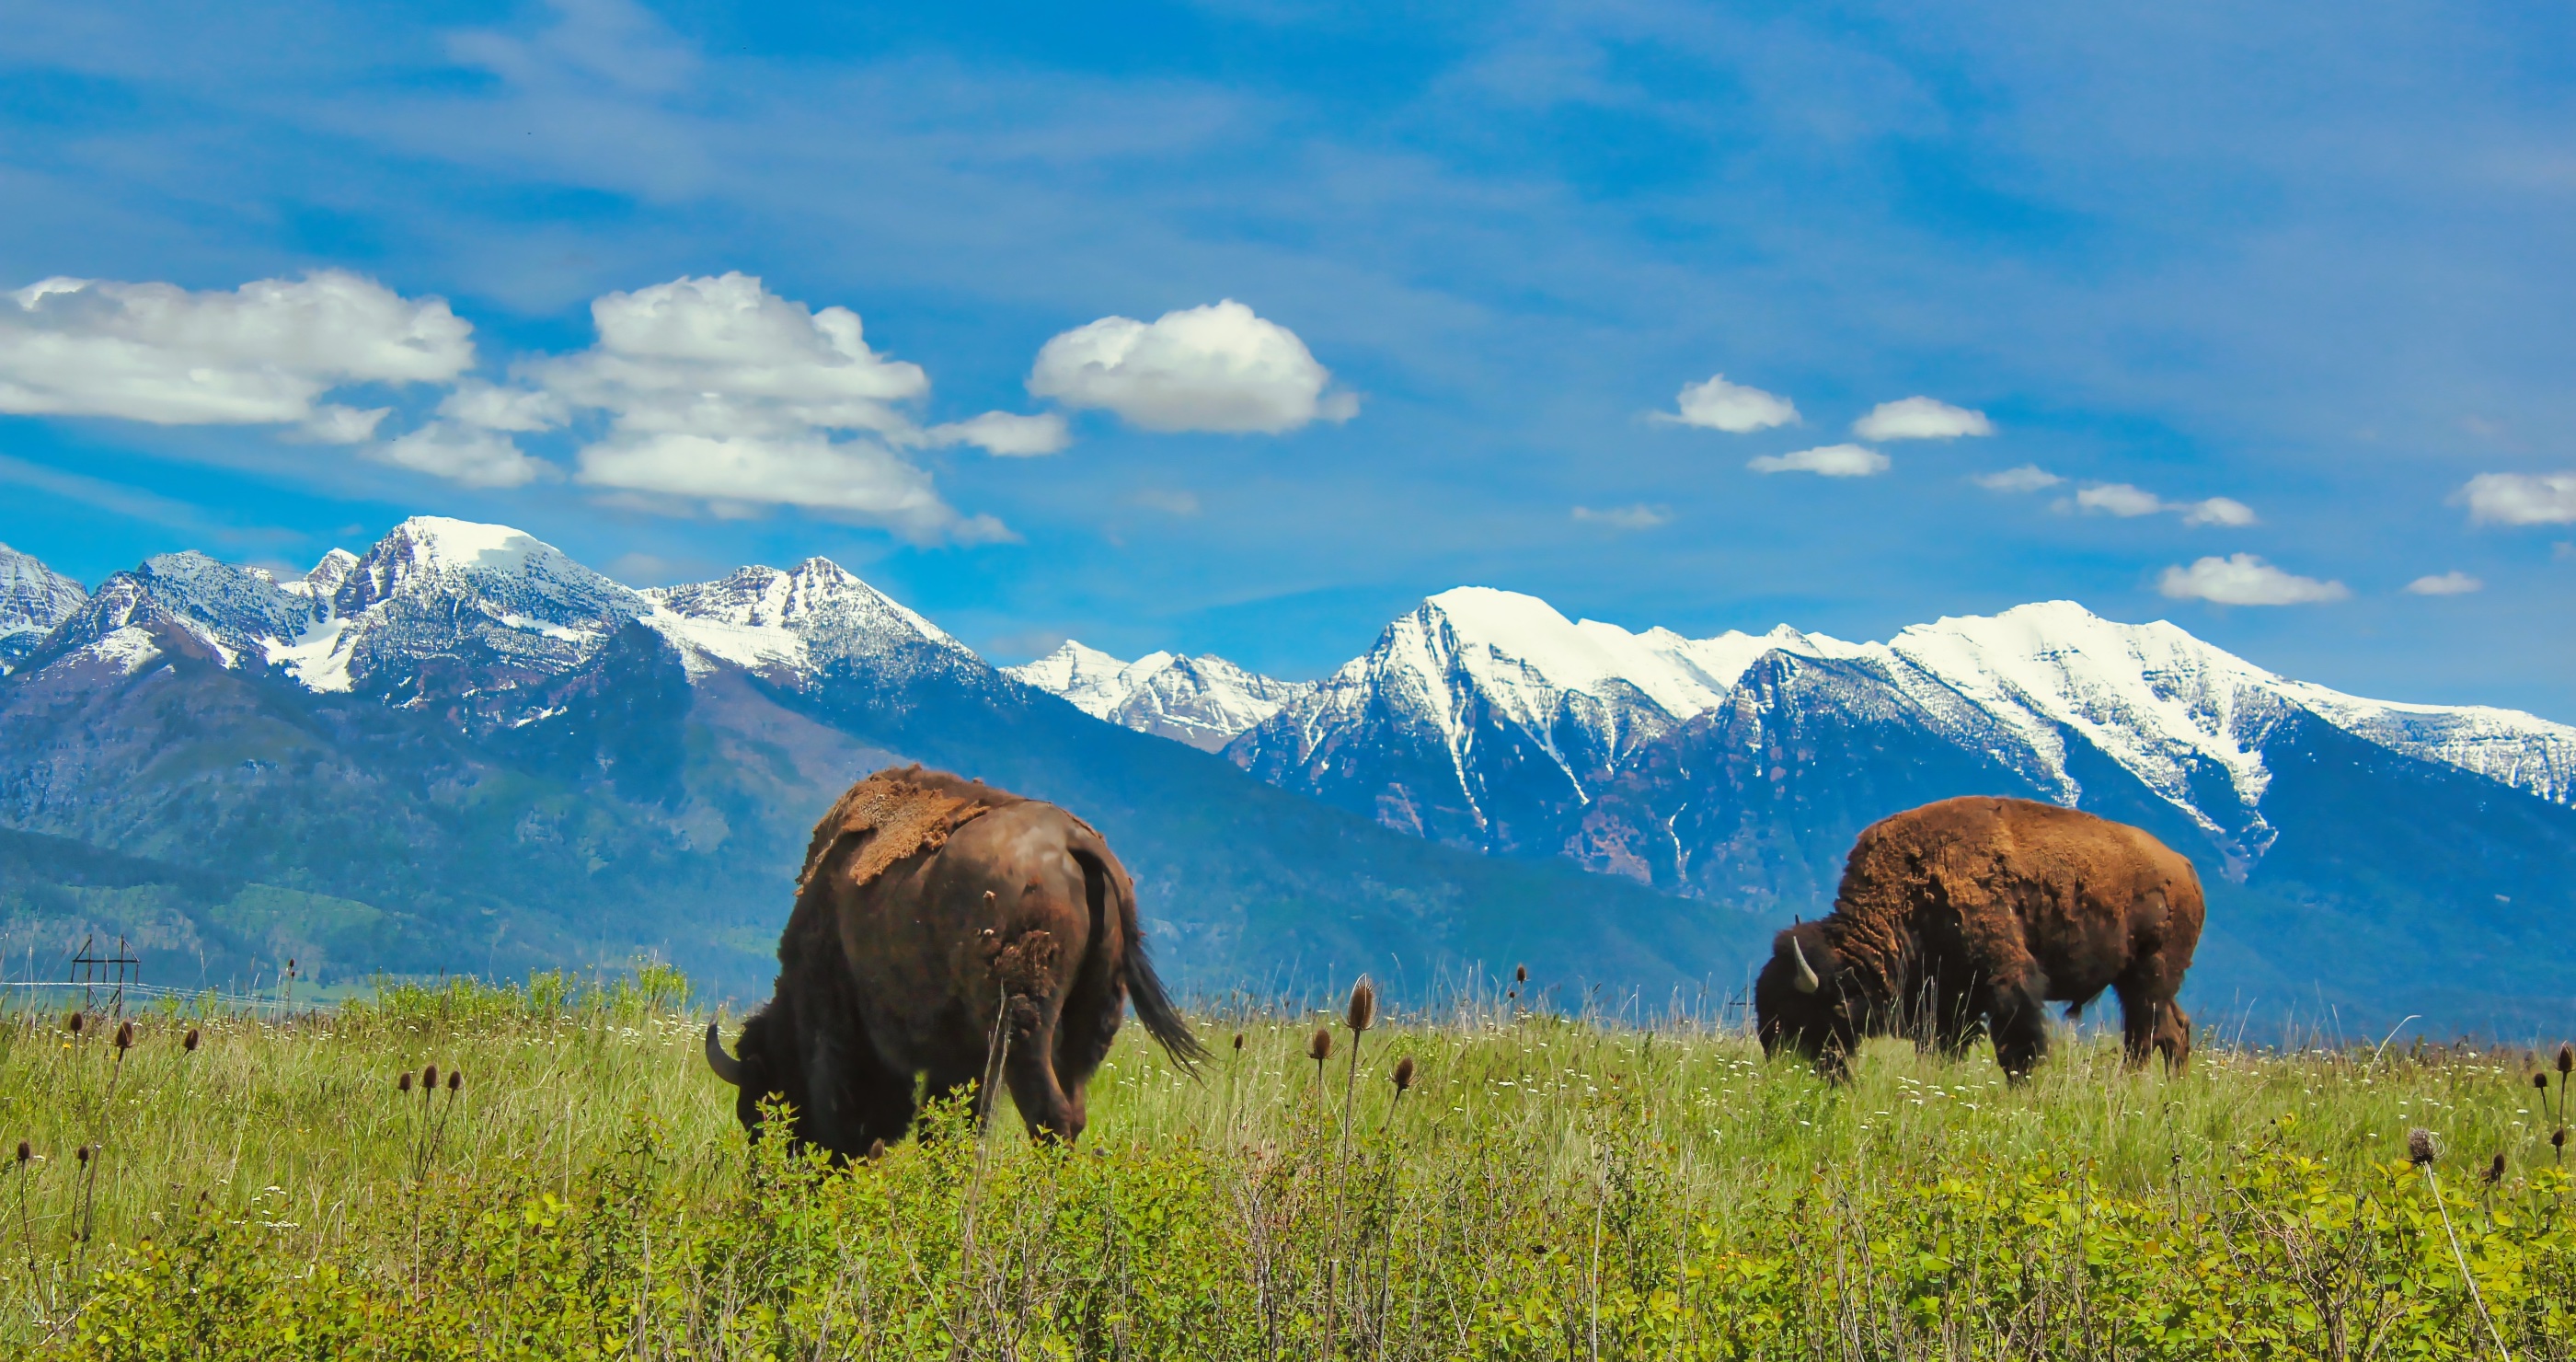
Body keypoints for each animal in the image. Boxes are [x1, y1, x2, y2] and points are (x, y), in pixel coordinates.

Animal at [696, 756, 1195, 1153]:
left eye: (757, 1113)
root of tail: (1076, 844)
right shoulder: (957, 1060)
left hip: (1022, 1029)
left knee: (1050, 1116)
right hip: (1091, 1018)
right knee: (1071, 1106)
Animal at [1762, 792, 2204, 1076]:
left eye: (1801, 1012)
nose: (1777, 1060)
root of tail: (2184, 868)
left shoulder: (2007, 981)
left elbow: (2017, 1048)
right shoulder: (1944, 999)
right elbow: (1942, 1049)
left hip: (2148, 977)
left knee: (2147, 1035)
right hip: (2139, 981)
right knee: (2174, 1030)